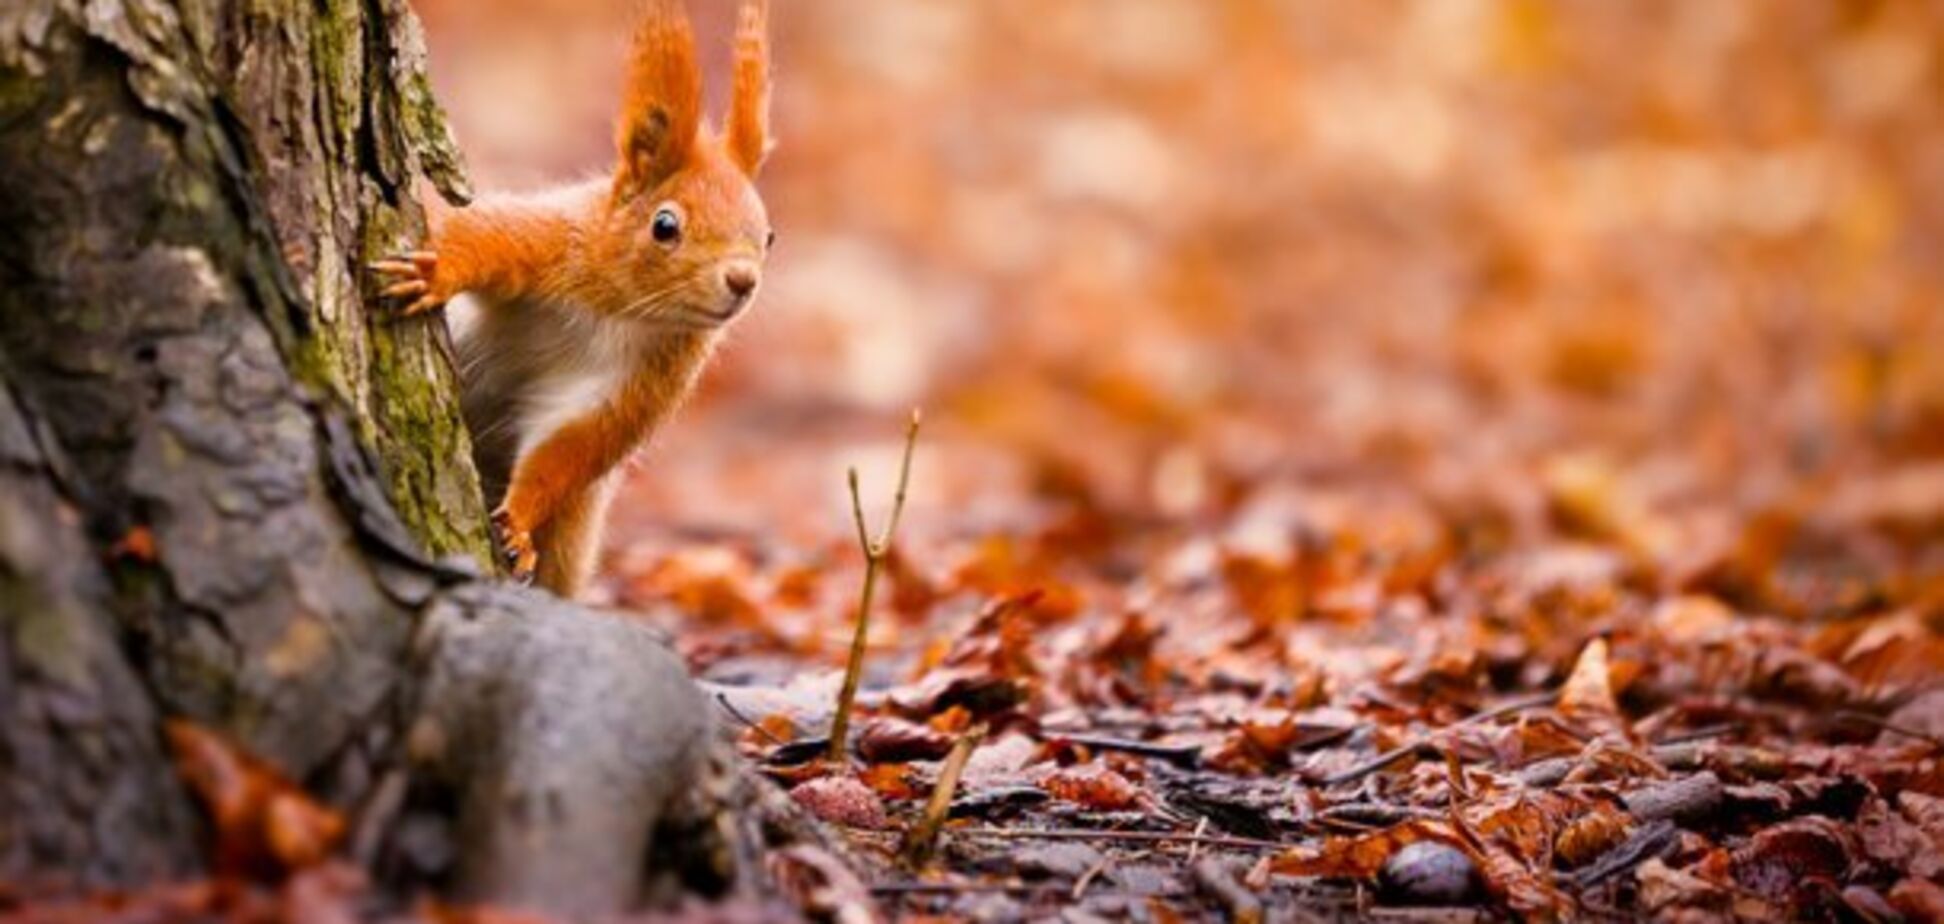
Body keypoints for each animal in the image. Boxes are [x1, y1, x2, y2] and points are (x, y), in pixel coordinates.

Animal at [375, 0, 769, 591]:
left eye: (770, 236)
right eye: (665, 225)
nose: (742, 280)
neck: (618, 309)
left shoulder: (644, 381)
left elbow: (570, 448)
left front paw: (517, 524)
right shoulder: (551, 242)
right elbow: (484, 236)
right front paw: (436, 270)